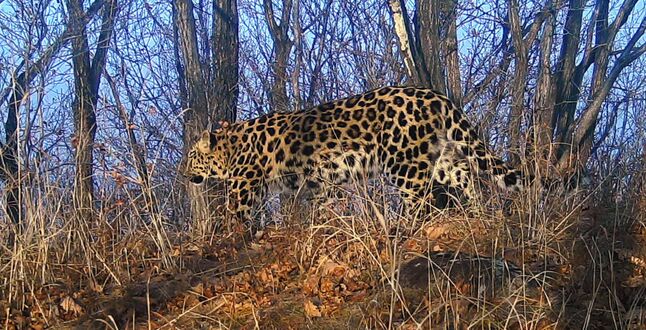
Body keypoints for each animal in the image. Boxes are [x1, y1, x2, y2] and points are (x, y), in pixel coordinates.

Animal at [185, 86, 528, 220]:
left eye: (190, 156)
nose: (183, 174)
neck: (229, 148)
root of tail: (435, 95)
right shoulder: (319, 183)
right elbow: (324, 208)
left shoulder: (244, 187)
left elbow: (238, 218)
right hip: (438, 155)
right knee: (464, 173)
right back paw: (478, 212)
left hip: (403, 162)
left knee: (420, 198)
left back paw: (405, 227)